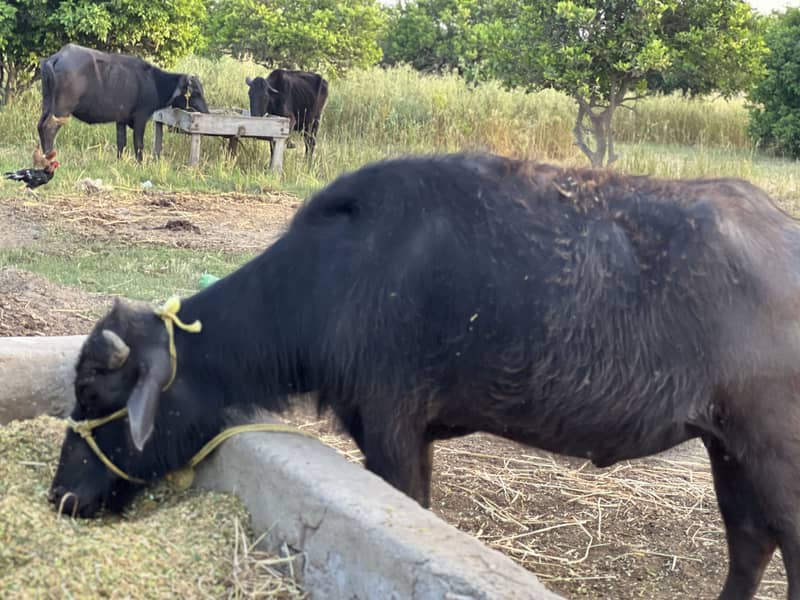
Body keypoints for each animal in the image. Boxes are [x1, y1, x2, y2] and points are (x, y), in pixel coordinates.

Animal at [38, 44, 209, 161]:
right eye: (196, 93)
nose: (206, 111)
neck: (153, 82)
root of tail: (58, 57)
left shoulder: (120, 120)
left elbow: (121, 142)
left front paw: (120, 160)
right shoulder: (141, 118)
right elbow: (138, 144)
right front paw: (140, 163)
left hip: (47, 105)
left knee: (41, 125)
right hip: (61, 109)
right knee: (49, 127)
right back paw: (49, 156)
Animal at [51, 153, 800, 599]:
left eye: (93, 393)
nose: (62, 496)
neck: (335, 279)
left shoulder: (393, 428)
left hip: (772, 451)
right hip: (727, 447)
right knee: (749, 542)